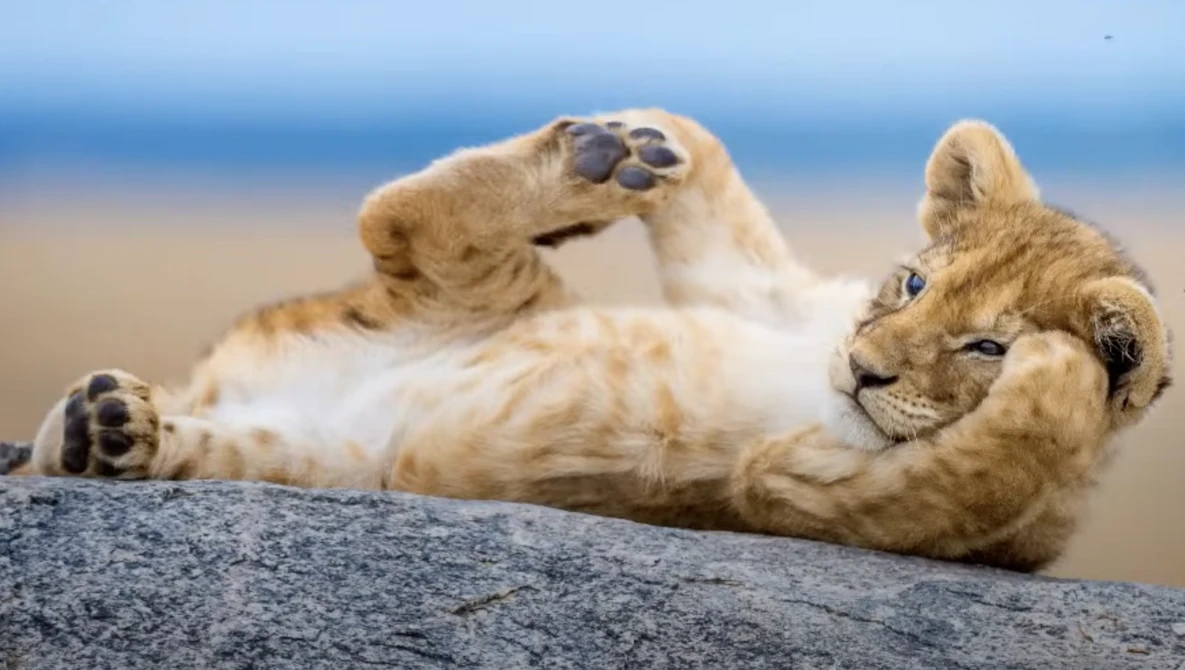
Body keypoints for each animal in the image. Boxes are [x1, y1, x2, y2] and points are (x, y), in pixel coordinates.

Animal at [6, 108, 1171, 572]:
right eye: (916, 281)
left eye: (984, 348)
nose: (860, 368)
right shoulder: (769, 295)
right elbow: (719, 202)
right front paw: (663, 144)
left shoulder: (808, 496)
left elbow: (1006, 451)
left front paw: (1075, 360)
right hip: (472, 290)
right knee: (399, 212)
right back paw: (608, 155)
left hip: (345, 456)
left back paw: (108, 428)